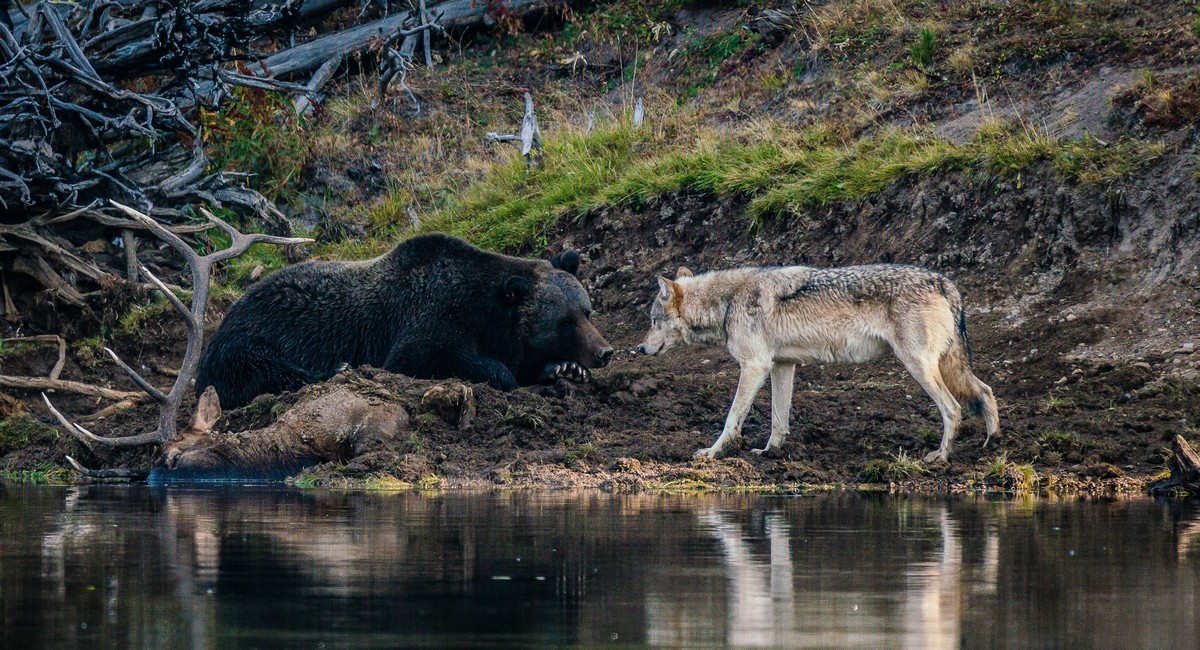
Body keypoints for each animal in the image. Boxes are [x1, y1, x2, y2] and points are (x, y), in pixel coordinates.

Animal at [196, 232, 614, 407]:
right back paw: (335, 368)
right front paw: (505, 374)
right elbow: (426, 356)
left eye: (586, 311)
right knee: (264, 368)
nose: (605, 351)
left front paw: (563, 368)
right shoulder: (426, 317)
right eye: (565, 321)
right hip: (249, 337)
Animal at [643, 265, 998, 462]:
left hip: (918, 366)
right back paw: (992, 445)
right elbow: (778, 419)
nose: (640, 347)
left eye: (653, 321)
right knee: (985, 391)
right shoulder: (781, 366)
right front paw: (770, 453)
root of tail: (944, 282)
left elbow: (732, 418)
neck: (729, 302)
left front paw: (713, 453)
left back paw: (941, 457)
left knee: (953, 408)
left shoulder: (754, 366)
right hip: (944, 366)